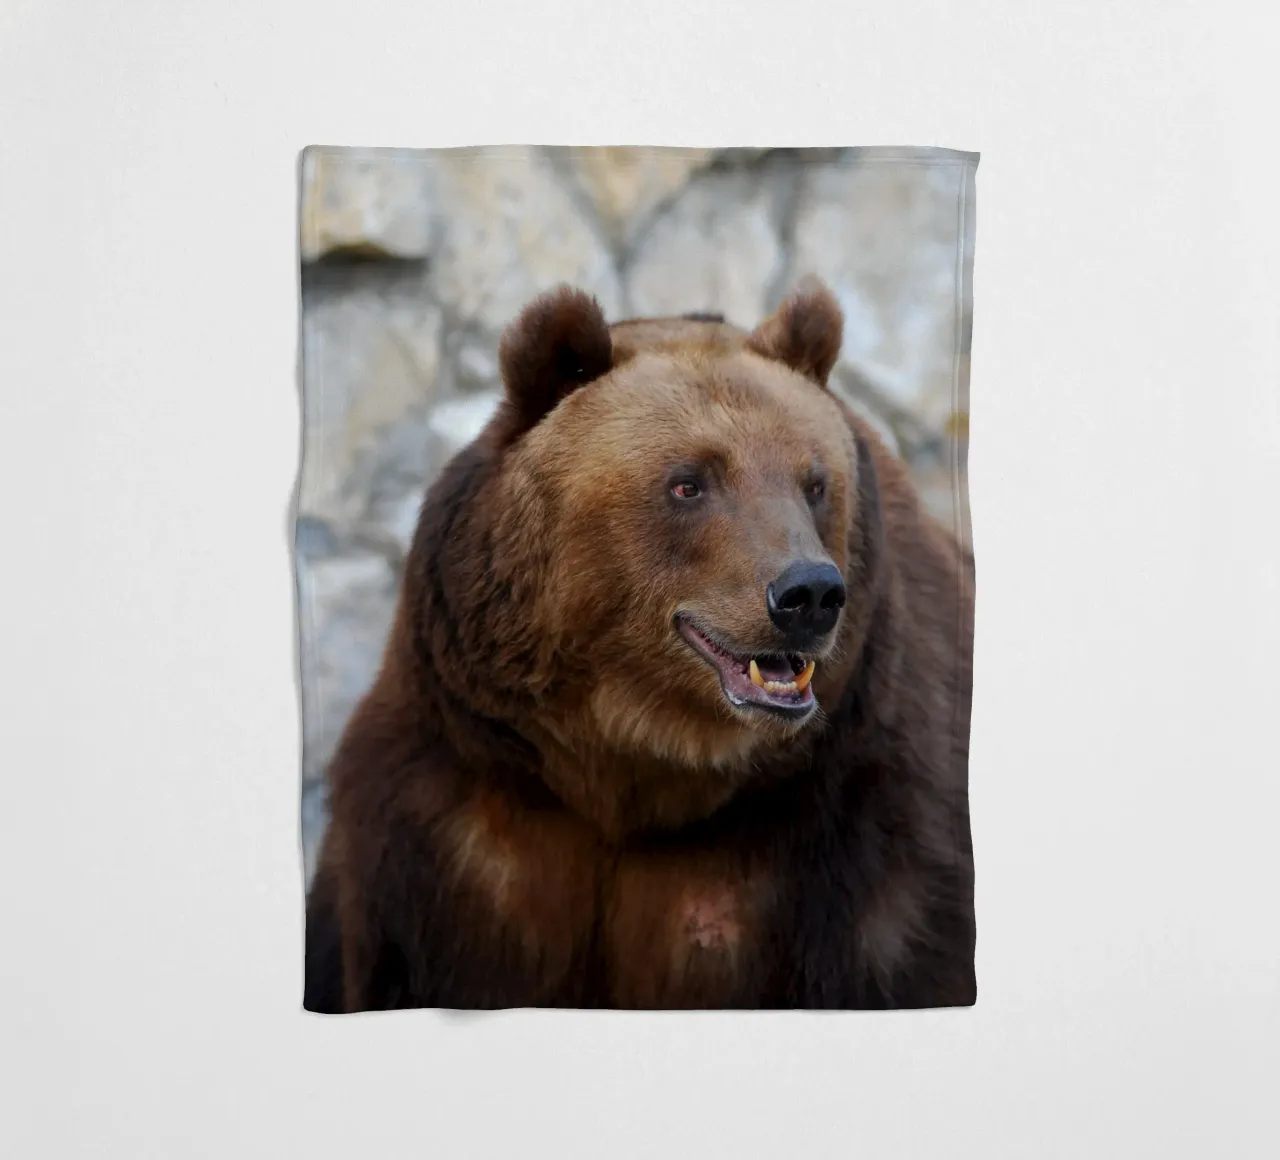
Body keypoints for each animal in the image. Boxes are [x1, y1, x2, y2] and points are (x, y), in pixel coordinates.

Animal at [303, 276, 976, 1012]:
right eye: (689, 482)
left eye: (815, 482)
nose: (810, 594)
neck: (635, 766)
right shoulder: (459, 828)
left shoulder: (856, 842)